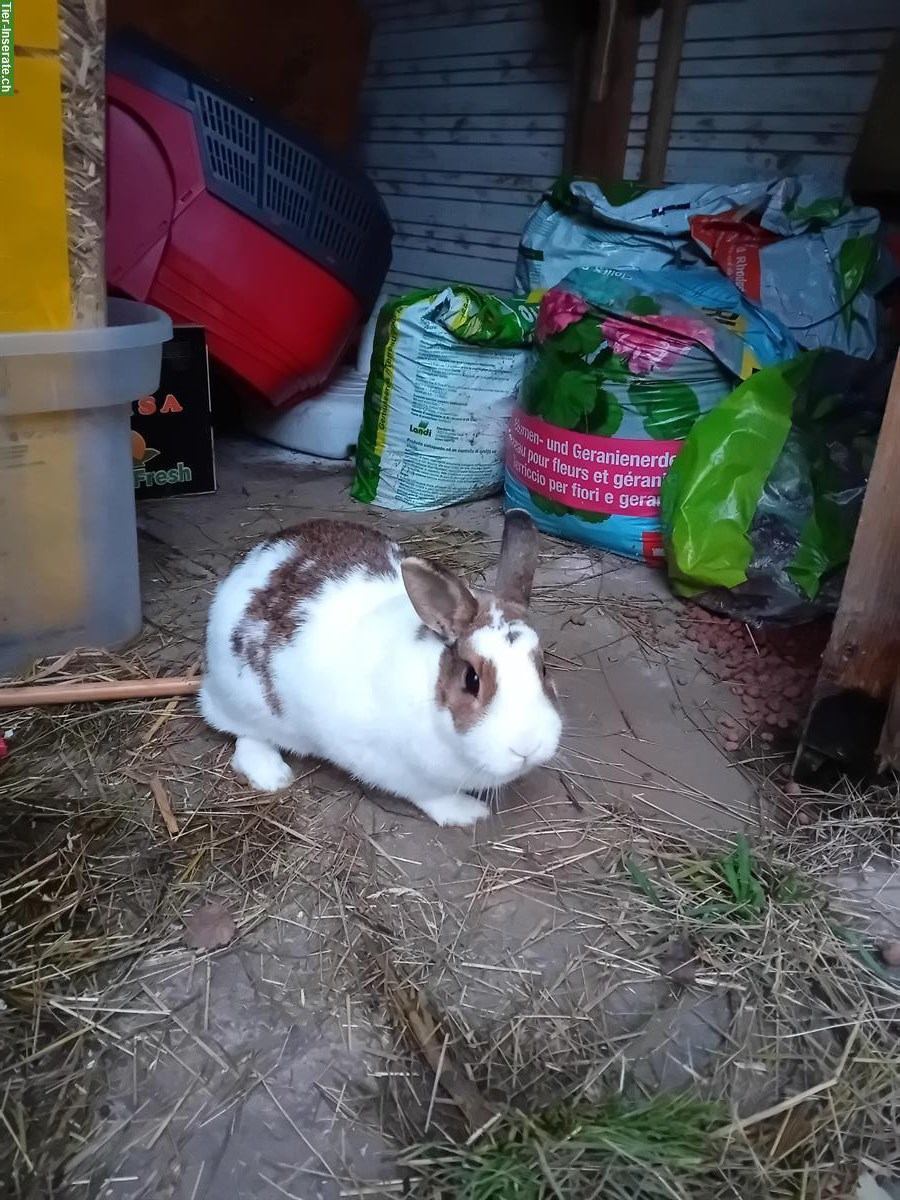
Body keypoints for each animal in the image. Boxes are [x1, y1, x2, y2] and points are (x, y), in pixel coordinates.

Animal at [200, 506, 561, 825]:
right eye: (471, 680)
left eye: (543, 669)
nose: (528, 747)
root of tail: (251, 563)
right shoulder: (393, 768)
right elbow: (431, 795)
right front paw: (467, 813)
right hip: (246, 702)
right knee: (243, 735)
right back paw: (272, 775)